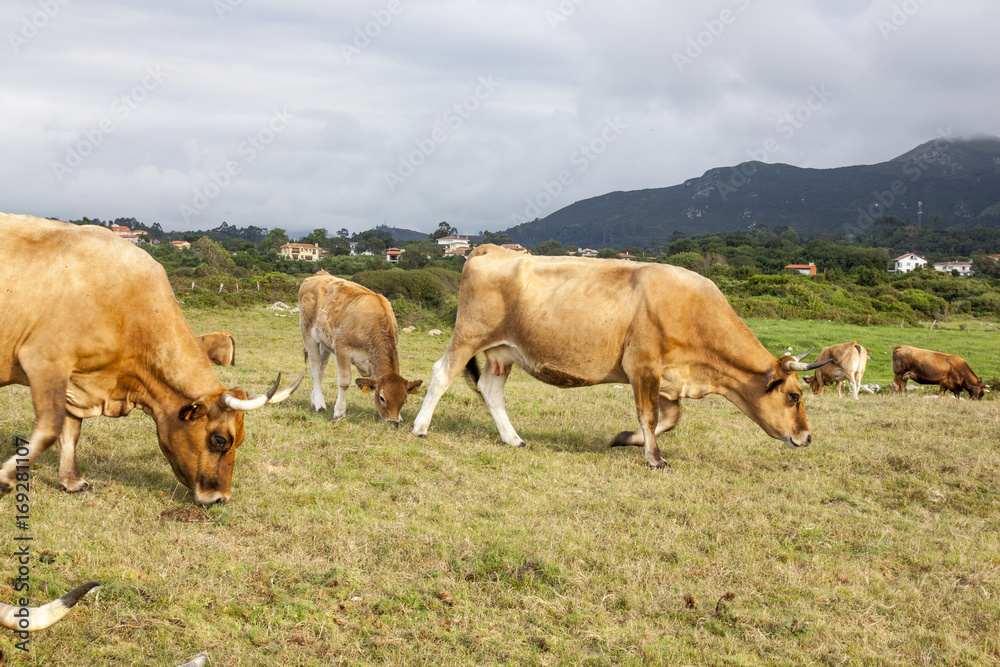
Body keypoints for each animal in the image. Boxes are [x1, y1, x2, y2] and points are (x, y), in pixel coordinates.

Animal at [0, 214, 300, 506]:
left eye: (240, 440)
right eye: (219, 439)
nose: (220, 499)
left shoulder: (76, 380)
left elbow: (71, 430)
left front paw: (72, 481)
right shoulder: (45, 361)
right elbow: (51, 428)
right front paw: (6, 478)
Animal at [296, 270, 422, 422]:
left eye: (404, 400)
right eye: (382, 398)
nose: (394, 422)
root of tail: (320, 274)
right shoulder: (342, 350)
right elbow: (344, 382)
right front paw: (339, 411)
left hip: (326, 342)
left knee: (321, 368)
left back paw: (315, 399)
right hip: (307, 332)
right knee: (314, 367)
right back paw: (320, 404)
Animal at [410, 245, 832, 470]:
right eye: (794, 396)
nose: (808, 437)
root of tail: (492, 249)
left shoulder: (667, 379)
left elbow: (669, 419)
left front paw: (624, 440)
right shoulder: (643, 367)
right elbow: (650, 417)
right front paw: (654, 459)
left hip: (504, 352)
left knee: (490, 390)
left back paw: (513, 439)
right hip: (470, 335)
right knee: (441, 373)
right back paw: (420, 427)